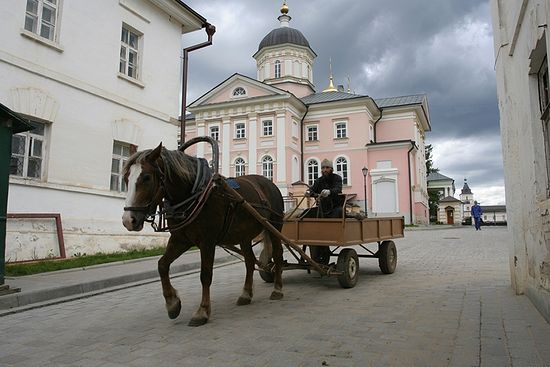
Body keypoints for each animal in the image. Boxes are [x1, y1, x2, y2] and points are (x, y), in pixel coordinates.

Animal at [123, 144, 286, 328]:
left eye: (147, 177)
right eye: (126, 178)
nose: (129, 220)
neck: (194, 194)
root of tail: (269, 184)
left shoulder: (207, 241)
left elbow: (205, 275)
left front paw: (202, 312)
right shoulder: (180, 240)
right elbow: (162, 265)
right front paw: (172, 304)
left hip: (274, 227)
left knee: (278, 255)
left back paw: (277, 289)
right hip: (244, 235)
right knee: (250, 262)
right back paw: (246, 294)